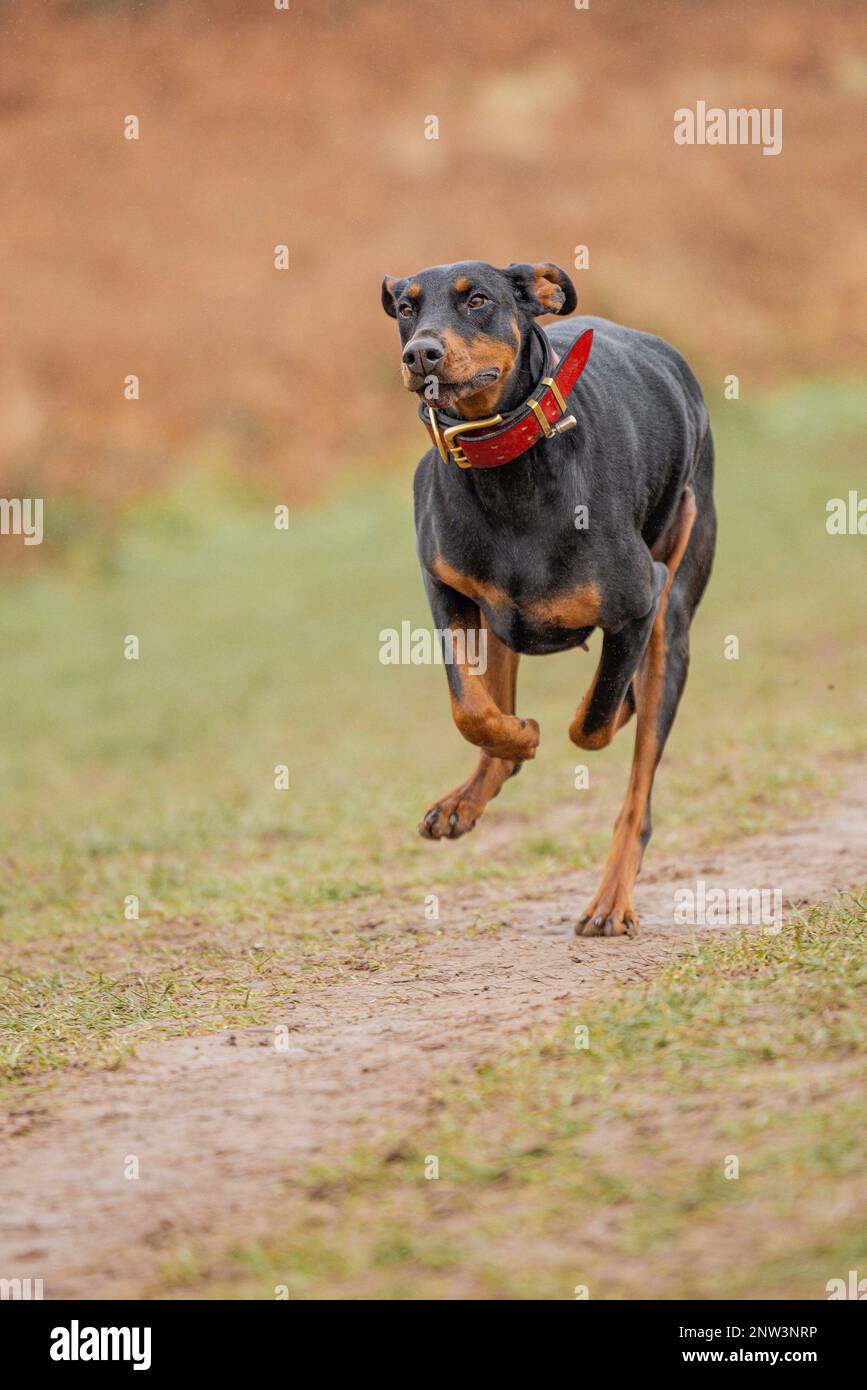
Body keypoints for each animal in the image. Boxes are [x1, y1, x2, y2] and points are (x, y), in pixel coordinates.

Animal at [380, 261, 716, 934]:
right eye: (405, 307)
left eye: (478, 300)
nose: (420, 352)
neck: (505, 467)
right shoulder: (445, 590)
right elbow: (471, 708)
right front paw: (520, 735)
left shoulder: (640, 602)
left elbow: (593, 721)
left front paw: (596, 709)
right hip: (496, 614)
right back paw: (470, 794)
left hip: (674, 617)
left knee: (637, 790)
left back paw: (611, 900)